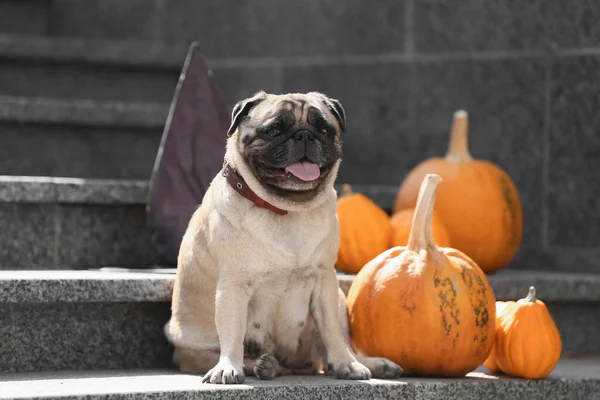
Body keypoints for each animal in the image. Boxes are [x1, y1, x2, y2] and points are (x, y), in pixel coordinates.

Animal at [163, 90, 404, 384]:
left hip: (336, 298)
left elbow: (332, 332)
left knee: (340, 344)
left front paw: (346, 364)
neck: (287, 209)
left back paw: (366, 363)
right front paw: (228, 367)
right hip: (194, 346)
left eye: (324, 128)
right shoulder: (233, 286)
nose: (304, 136)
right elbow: (232, 332)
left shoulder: (324, 281)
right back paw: (262, 365)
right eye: (274, 130)